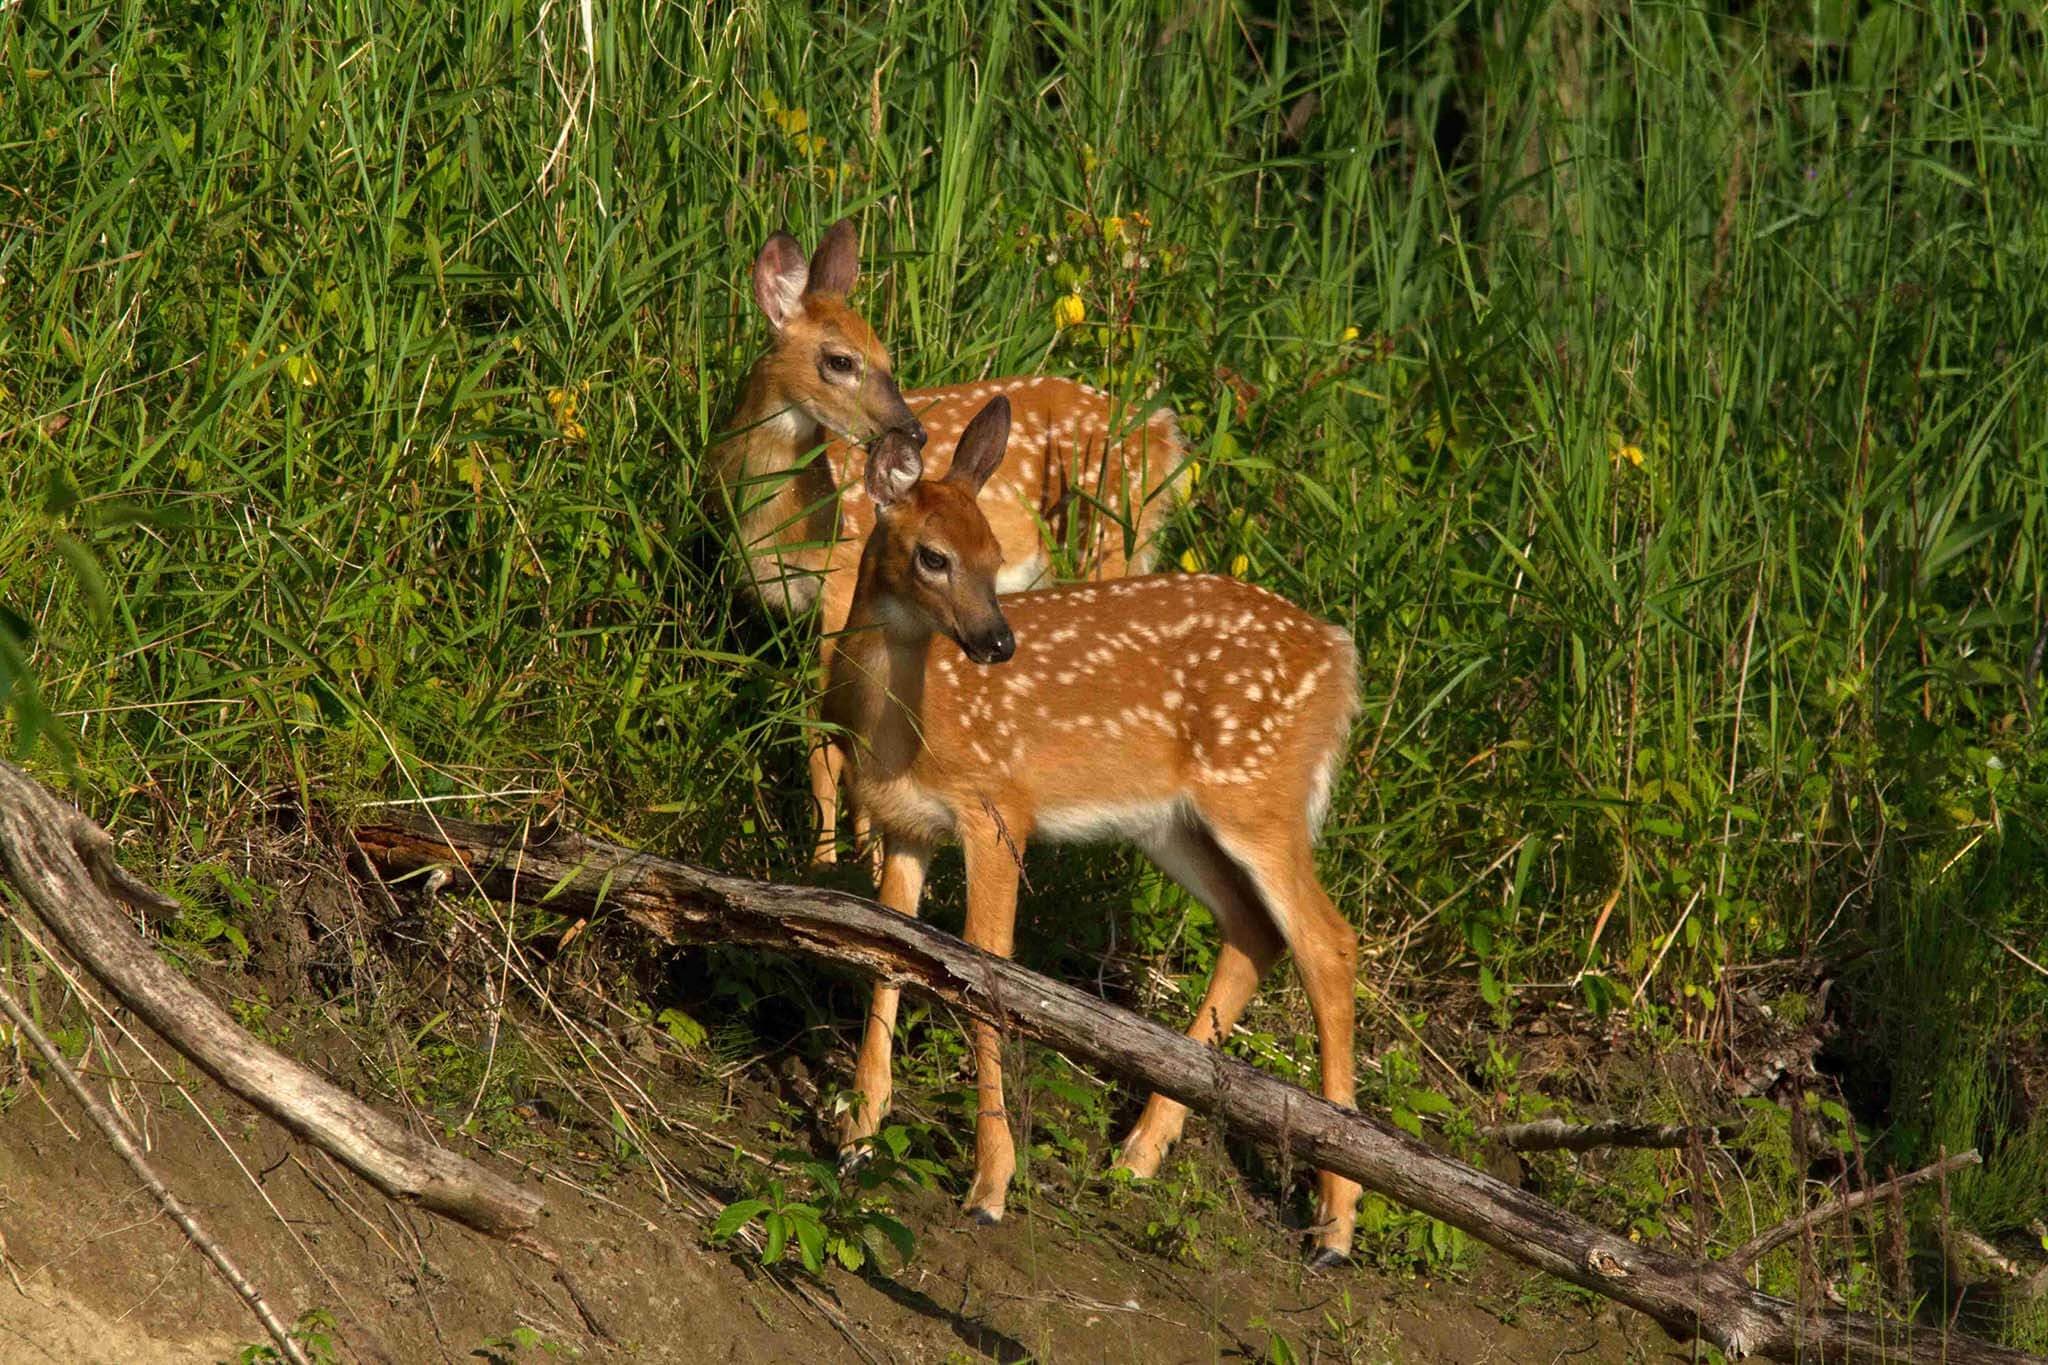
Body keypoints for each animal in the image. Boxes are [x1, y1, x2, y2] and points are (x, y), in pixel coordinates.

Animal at [710, 219, 1191, 868]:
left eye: (888, 359)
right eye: (840, 360)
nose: (913, 432)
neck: (783, 517)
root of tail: (1165, 437)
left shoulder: (841, 586)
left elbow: (822, 736)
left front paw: (828, 861)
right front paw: (866, 849)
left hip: (1105, 542)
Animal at [823, 395, 1364, 1265]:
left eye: (996, 554)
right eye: (934, 556)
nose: (997, 641)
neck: (903, 725)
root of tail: (1342, 656)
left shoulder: (998, 806)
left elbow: (987, 971)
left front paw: (990, 1185)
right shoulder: (905, 826)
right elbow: (887, 956)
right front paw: (857, 1136)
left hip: (1259, 794)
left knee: (1326, 941)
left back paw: (1336, 1224)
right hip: (1172, 822)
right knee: (1255, 931)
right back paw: (1139, 1153)